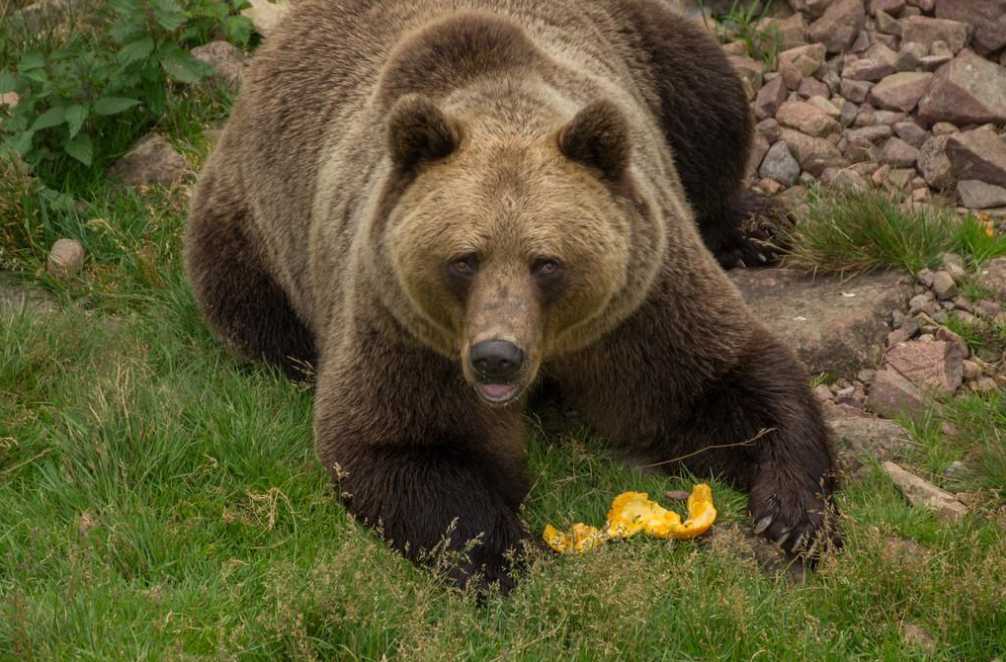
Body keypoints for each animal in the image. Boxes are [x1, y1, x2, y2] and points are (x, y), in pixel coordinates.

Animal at [185, 0, 836, 587]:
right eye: (463, 260)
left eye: (546, 263)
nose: (496, 356)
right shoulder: (402, 326)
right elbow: (400, 446)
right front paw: (511, 558)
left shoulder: (640, 306)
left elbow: (717, 383)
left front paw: (792, 513)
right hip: (250, 222)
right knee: (257, 318)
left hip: (651, 49)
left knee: (710, 101)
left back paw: (757, 228)